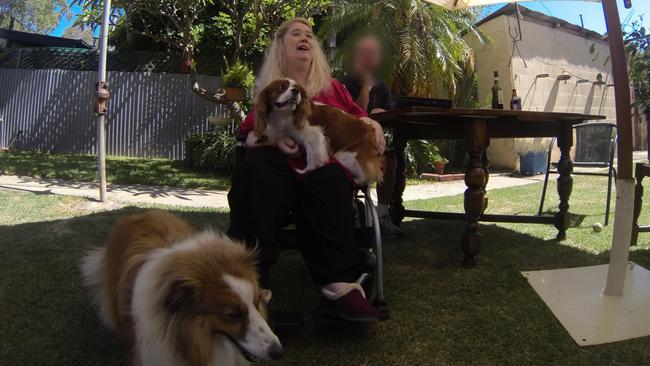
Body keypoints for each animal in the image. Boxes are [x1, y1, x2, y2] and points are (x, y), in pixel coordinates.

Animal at [253, 78, 384, 184]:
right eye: (282, 87)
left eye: (298, 88)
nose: (296, 90)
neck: (287, 114)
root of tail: (370, 129)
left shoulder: (314, 137)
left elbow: (312, 157)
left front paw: (305, 171)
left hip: (347, 155)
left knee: (368, 174)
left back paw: (356, 180)